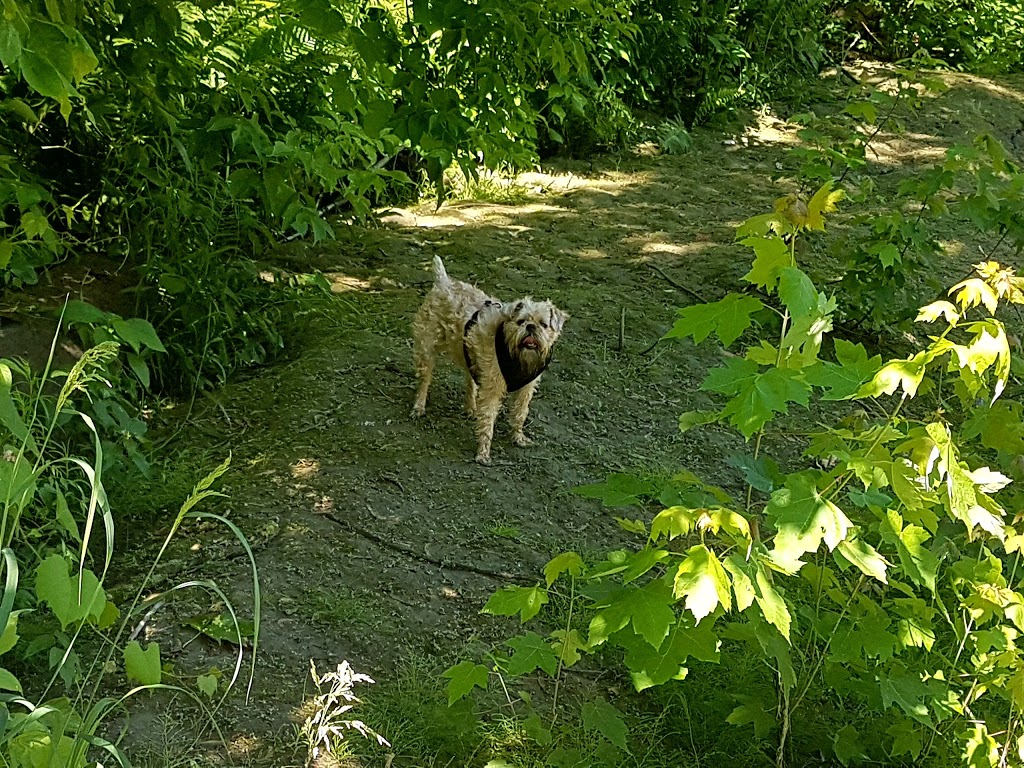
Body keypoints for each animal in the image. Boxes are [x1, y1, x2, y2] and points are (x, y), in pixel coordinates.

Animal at [407, 256, 569, 466]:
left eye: (543, 324)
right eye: (521, 322)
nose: (531, 327)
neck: (517, 356)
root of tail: (444, 282)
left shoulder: (526, 388)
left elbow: (520, 412)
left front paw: (518, 436)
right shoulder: (493, 388)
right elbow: (488, 419)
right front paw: (483, 452)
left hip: (469, 354)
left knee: (470, 380)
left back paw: (471, 407)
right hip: (426, 348)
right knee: (425, 379)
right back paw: (419, 406)